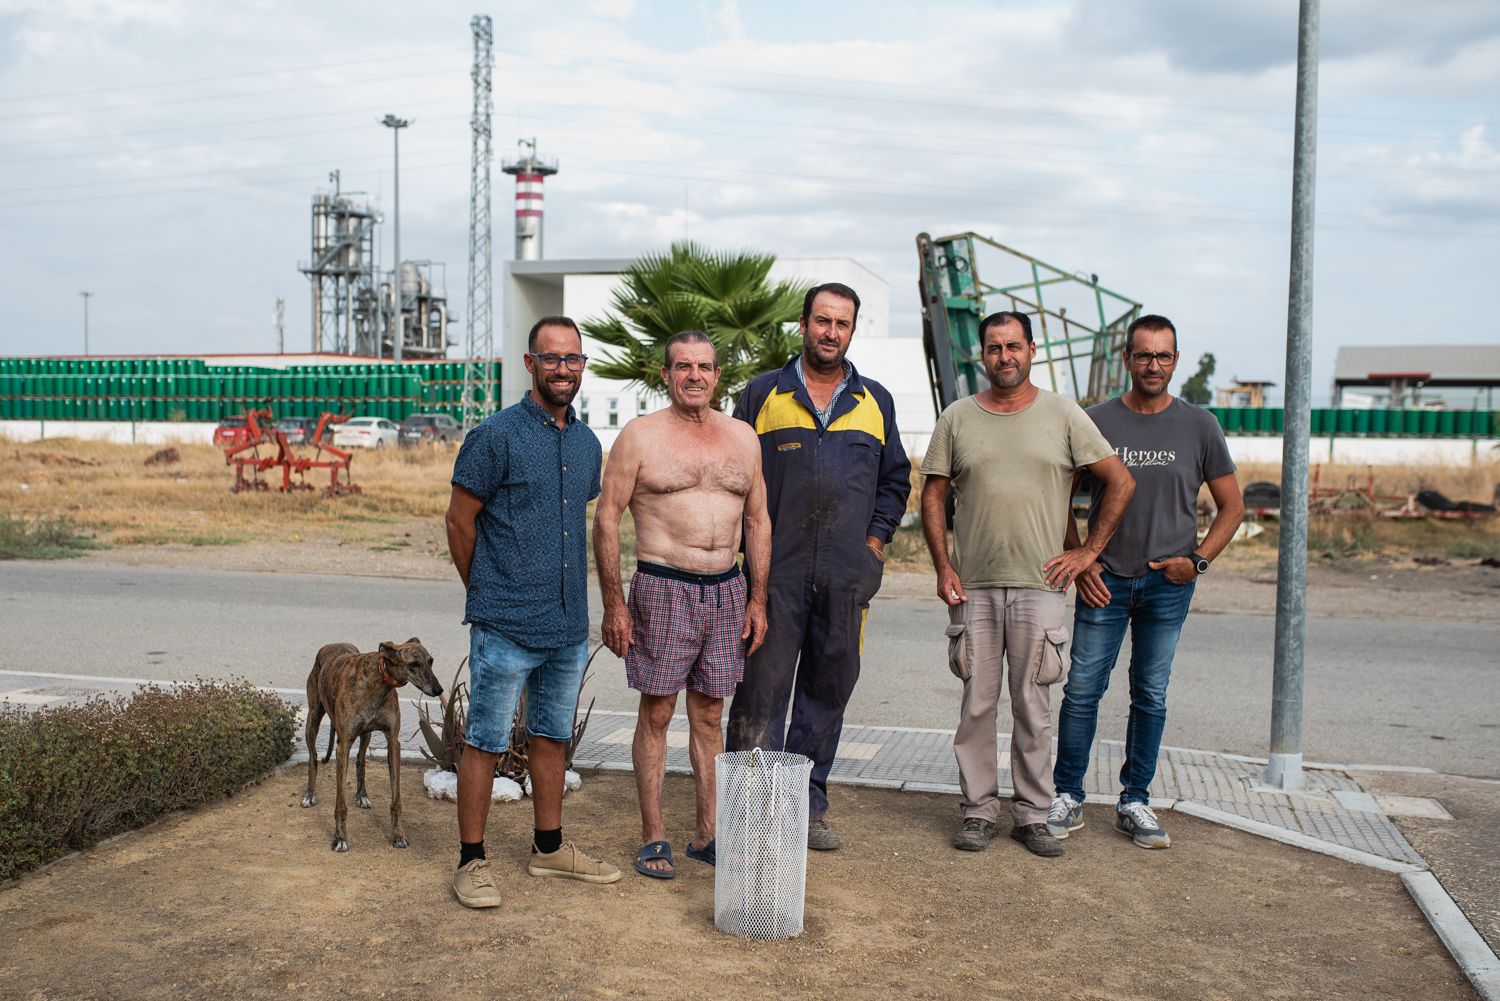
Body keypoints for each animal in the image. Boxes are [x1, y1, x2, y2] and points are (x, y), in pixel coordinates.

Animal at [301, 642, 441, 852]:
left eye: (430, 661)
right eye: (413, 664)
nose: (439, 690)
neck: (380, 682)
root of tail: (331, 644)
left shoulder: (393, 742)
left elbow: (396, 801)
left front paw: (398, 835)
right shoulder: (343, 746)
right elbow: (340, 805)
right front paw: (340, 838)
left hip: (365, 734)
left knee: (361, 761)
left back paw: (362, 795)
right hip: (313, 719)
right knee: (313, 758)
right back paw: (310, 795)